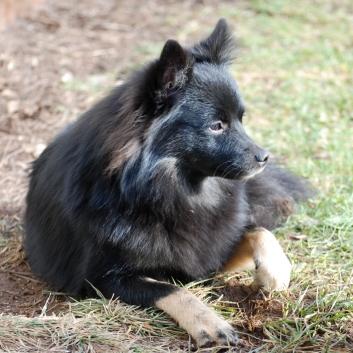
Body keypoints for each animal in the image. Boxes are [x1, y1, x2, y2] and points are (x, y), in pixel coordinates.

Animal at [24, 18, 308, 344]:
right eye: (216, 126)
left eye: (241, 119)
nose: (264, 157)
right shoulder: (103, 279)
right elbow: (173, 290)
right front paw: (209, 321)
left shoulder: (208, 252)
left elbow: (258, 232)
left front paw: (275, 271)